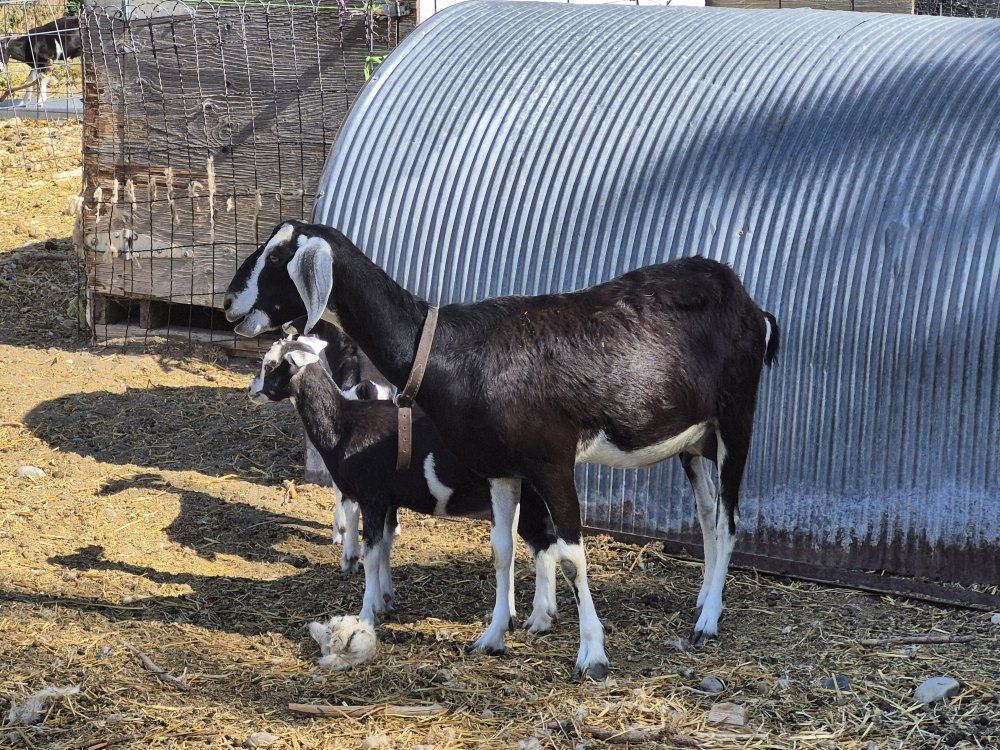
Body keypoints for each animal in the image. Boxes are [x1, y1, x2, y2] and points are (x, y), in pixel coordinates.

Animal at [249, 335, 562, 633]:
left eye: (272, 365)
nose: (252, 390)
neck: (345, 423)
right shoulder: (389, 500)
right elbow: (386, 548)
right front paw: (384, 601)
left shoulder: (372, 497)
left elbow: (371, 554)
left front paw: (367, 614)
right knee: (541, 546)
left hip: (528, 498)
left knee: (543, 547)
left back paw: (539, 620)